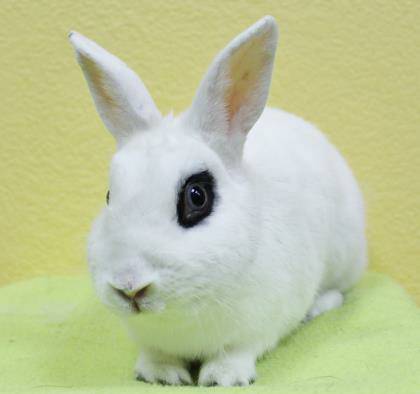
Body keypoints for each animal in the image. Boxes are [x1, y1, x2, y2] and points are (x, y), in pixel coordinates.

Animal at [69, 16, 364, 388]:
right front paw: (161, 375)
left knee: (338, 291)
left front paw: (223, 378)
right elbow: (156, 354)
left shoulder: (260, 326)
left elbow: (237, 351)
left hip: (345, 257)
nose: (129, 287)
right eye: (109, 196)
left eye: (197, 197)